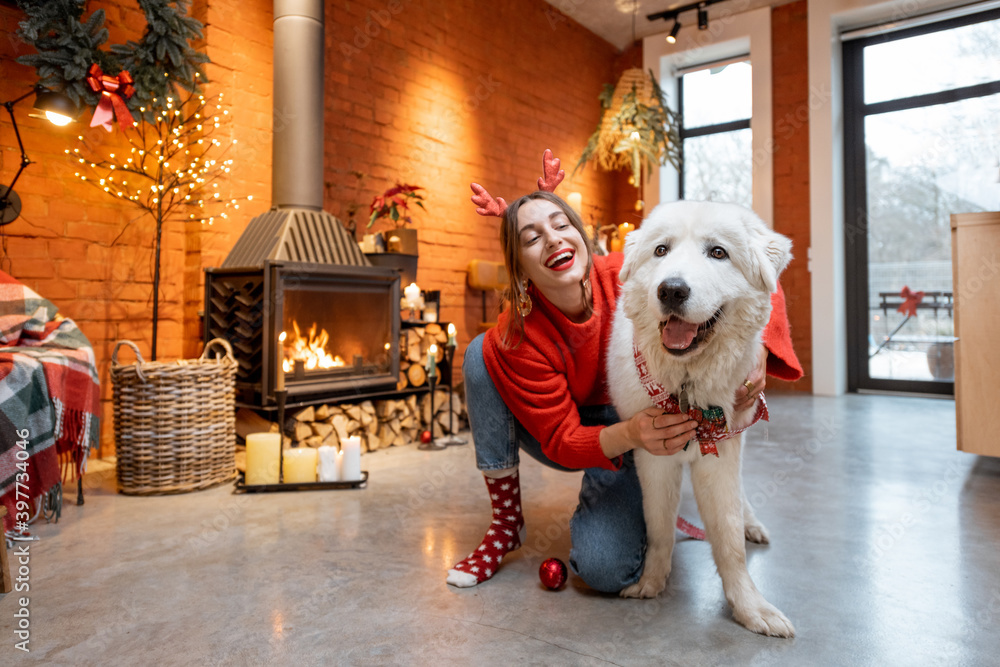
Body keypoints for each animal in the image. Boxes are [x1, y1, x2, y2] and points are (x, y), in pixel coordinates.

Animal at [600, 201, 796, 640]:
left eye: (718, 253)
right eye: (661, 250)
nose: (671, 290)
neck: (688, 387)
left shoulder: (721, 453)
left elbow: (728, 538)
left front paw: (751, 608)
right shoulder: (654, 456)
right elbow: (658, 527)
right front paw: (651, 583)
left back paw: (752, 523)